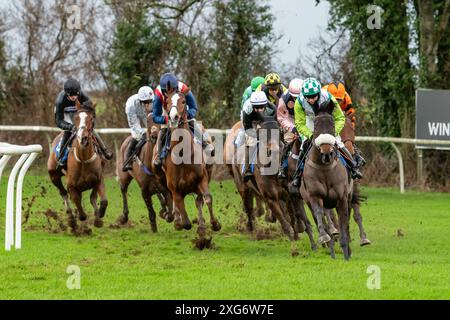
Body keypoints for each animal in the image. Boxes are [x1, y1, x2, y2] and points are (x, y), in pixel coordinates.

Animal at [47, 101, 107, 234]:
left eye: (91, 118)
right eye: (76, 118)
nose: (82, 138)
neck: (83, 159)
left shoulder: (98, 179)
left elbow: (102, 200)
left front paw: (98, 217)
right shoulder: (72, 186)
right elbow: (79, 208)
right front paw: (76, 220)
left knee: (92, 197)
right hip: (53, 175)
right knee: (63, 193)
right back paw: (70, 218)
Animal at [160, 91, 221, 249]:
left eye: (183, 101)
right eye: (167, 101)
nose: (174, 117)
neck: (183, 155)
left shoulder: (202, 179)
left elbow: (207, 198)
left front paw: (214, 224)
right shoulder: (175, 189)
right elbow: (185, 221)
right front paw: (180, 223)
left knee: (199, 201)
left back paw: (202, 226)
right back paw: (178, 221)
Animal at [300, 101, 354, 262]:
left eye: (332, 124)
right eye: (316, 125)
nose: (327, 153)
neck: (324, 168)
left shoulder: (342, 198)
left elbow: (343, 223)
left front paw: (346, 253)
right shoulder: (315, 196)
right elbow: (319, 215)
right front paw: (324, 237)